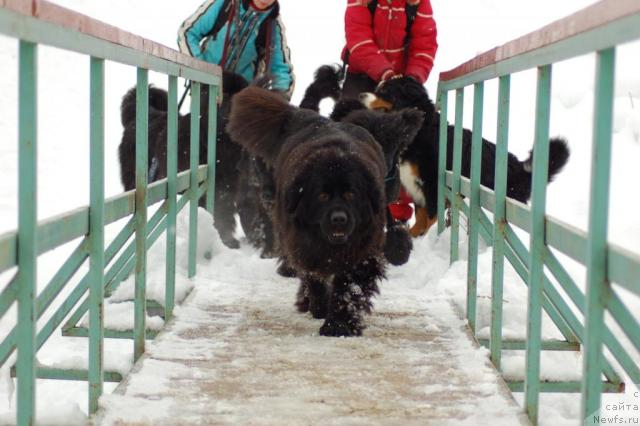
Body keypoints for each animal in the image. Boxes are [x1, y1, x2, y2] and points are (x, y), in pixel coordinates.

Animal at [228, 88, 422, 338]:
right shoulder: (300, 241)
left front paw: (339, 324)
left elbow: (349, 285)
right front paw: (320, 306)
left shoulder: (363, 246)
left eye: (351, 194)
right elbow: (314, 275)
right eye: (321, 195)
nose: (339, 218)